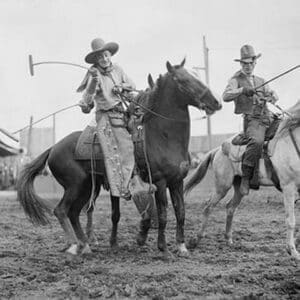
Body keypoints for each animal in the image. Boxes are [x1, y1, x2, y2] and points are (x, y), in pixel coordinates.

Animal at [17, 59, 221, 258]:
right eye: (184, 80)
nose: (216, 102)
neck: (162, 137)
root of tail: (53, 148)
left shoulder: (177, 181)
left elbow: (181, 213)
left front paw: (181, 246)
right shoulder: (160, 182)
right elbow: (163, 214)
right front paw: (163, 248)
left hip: (87, 186)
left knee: (74, 213)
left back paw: (85, 245)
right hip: (75, 185)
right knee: (61, 210)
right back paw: (75, 245)